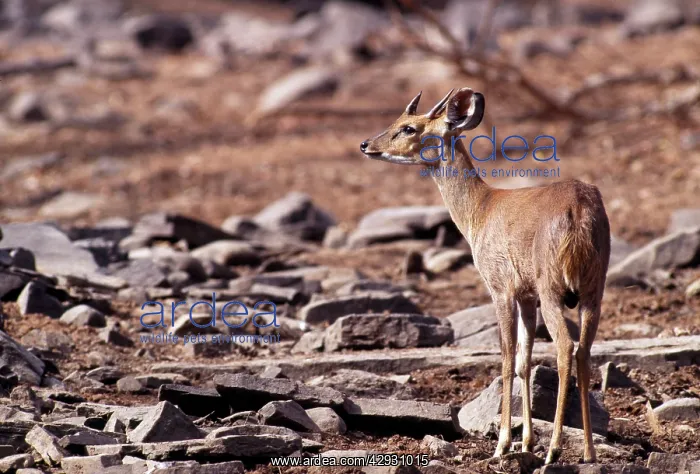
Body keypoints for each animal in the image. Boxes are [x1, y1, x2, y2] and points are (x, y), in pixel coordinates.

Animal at [360, 88, 610, 464]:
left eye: (408, 127)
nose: (366, 145)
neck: (481, 210)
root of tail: (579, 209)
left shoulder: (501, 288)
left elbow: (506, 358)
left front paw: (503, 444)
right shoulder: (527, 295)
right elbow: (524, 360)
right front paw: (526, 443)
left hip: (554, 288)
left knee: (566, 347)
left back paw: (554, 450)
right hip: (593, 290)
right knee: (583, 351)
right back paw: (588, 452)